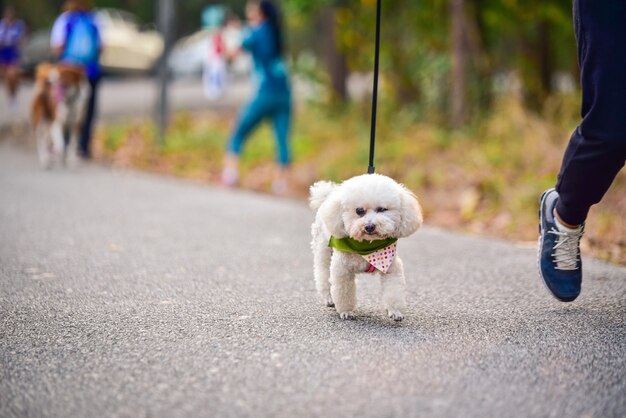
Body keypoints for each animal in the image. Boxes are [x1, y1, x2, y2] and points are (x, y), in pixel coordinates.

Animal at [308, 173, 422, 320]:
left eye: (382, 209)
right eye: (359, 210)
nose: (369, 226)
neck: (368, 245)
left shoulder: (391, 267)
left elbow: (393, 289)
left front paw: (395, 310)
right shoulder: (342, 269)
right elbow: (343, 291)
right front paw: (346, 311)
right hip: (323, 251)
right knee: (323, 274)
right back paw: (329, 298)